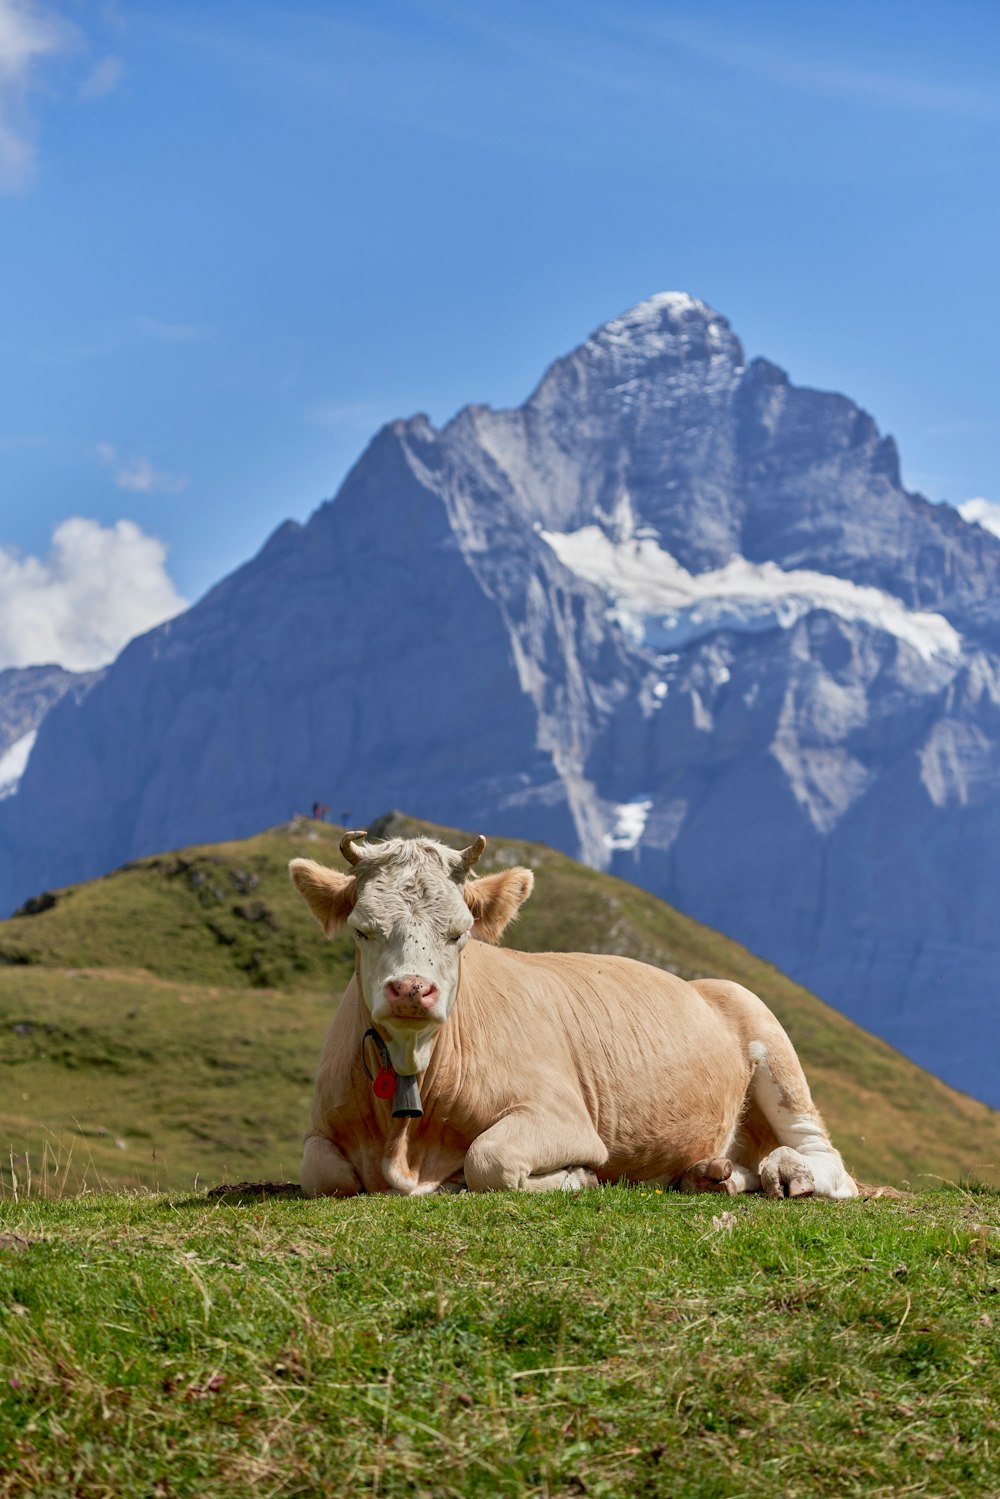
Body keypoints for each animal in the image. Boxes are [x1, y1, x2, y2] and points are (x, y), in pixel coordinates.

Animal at [289, 833, 863, 1205]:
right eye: (362, 929)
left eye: (459, 932)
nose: (411, 989)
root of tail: (704, 984)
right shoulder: (320, 1130)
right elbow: (323, 1173)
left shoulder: (563, 1116)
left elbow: (489, 1159)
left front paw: (580, 1178)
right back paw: (711, 1174)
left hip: (772, 1046)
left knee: (830, 1160)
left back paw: (788, 1171)